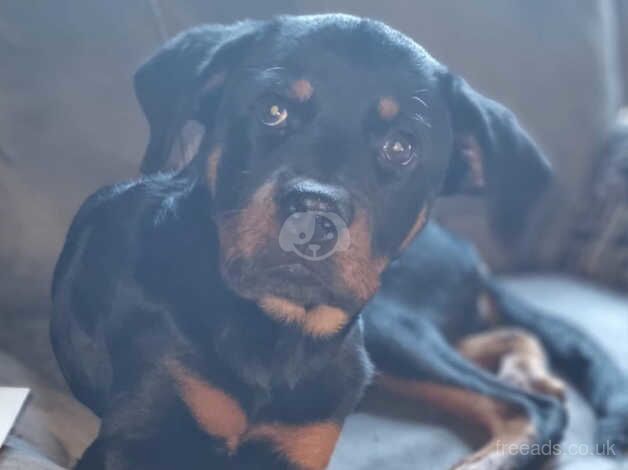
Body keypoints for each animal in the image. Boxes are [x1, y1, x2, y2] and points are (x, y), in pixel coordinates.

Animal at [50, 14, 628, 470]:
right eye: (273, 110)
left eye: (401, 147)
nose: (314, 218)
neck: (274, 336)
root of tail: (468, 251)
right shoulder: (136, 438)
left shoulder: (303, 445)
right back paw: (530, 371)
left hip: (387, 327)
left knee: (524, 402)